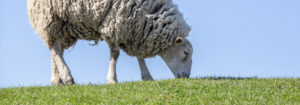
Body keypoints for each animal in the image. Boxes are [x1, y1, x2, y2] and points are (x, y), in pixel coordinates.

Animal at [27, 0, 192, 85]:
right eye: (185, 54)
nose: (186, 77)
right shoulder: (114, 24)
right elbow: (115, 54)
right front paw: (112, 79)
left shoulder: (135, 30)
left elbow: (139, 56)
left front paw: (147, 76)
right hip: (50, 16)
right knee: (55, 48)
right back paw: (67, 77)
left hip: (63, 24)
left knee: (56, 50)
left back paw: (57, 80)